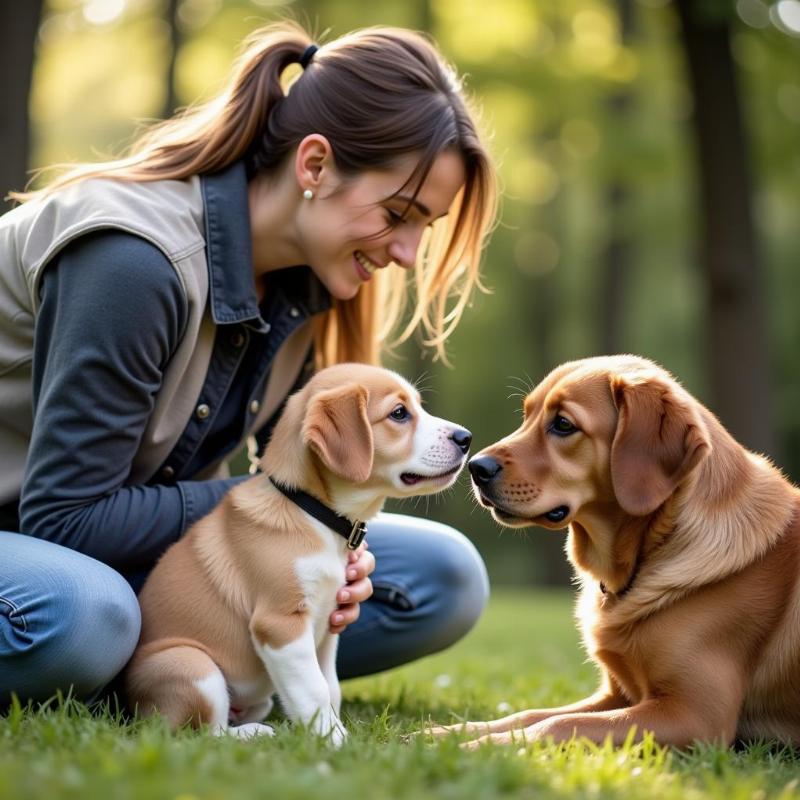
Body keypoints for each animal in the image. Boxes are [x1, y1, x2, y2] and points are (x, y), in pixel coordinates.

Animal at [124, 362, 472, 744]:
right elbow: (314, 690)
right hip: (192, 666)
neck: (313, 514)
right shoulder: (280, 624)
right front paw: (334, 740)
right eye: (399, 413)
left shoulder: (328, 627)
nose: (466, 438)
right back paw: (255, 734)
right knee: (199, 733)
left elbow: (329, 686)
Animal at [432, 356, 800, 752]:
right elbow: (529, 715)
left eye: (563, 424)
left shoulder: (697, 716)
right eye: (526, 414)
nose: (475, 466)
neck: (650, 553)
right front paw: (444, 734)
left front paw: (478, 747)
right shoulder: (616, 694)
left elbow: (558, 724)